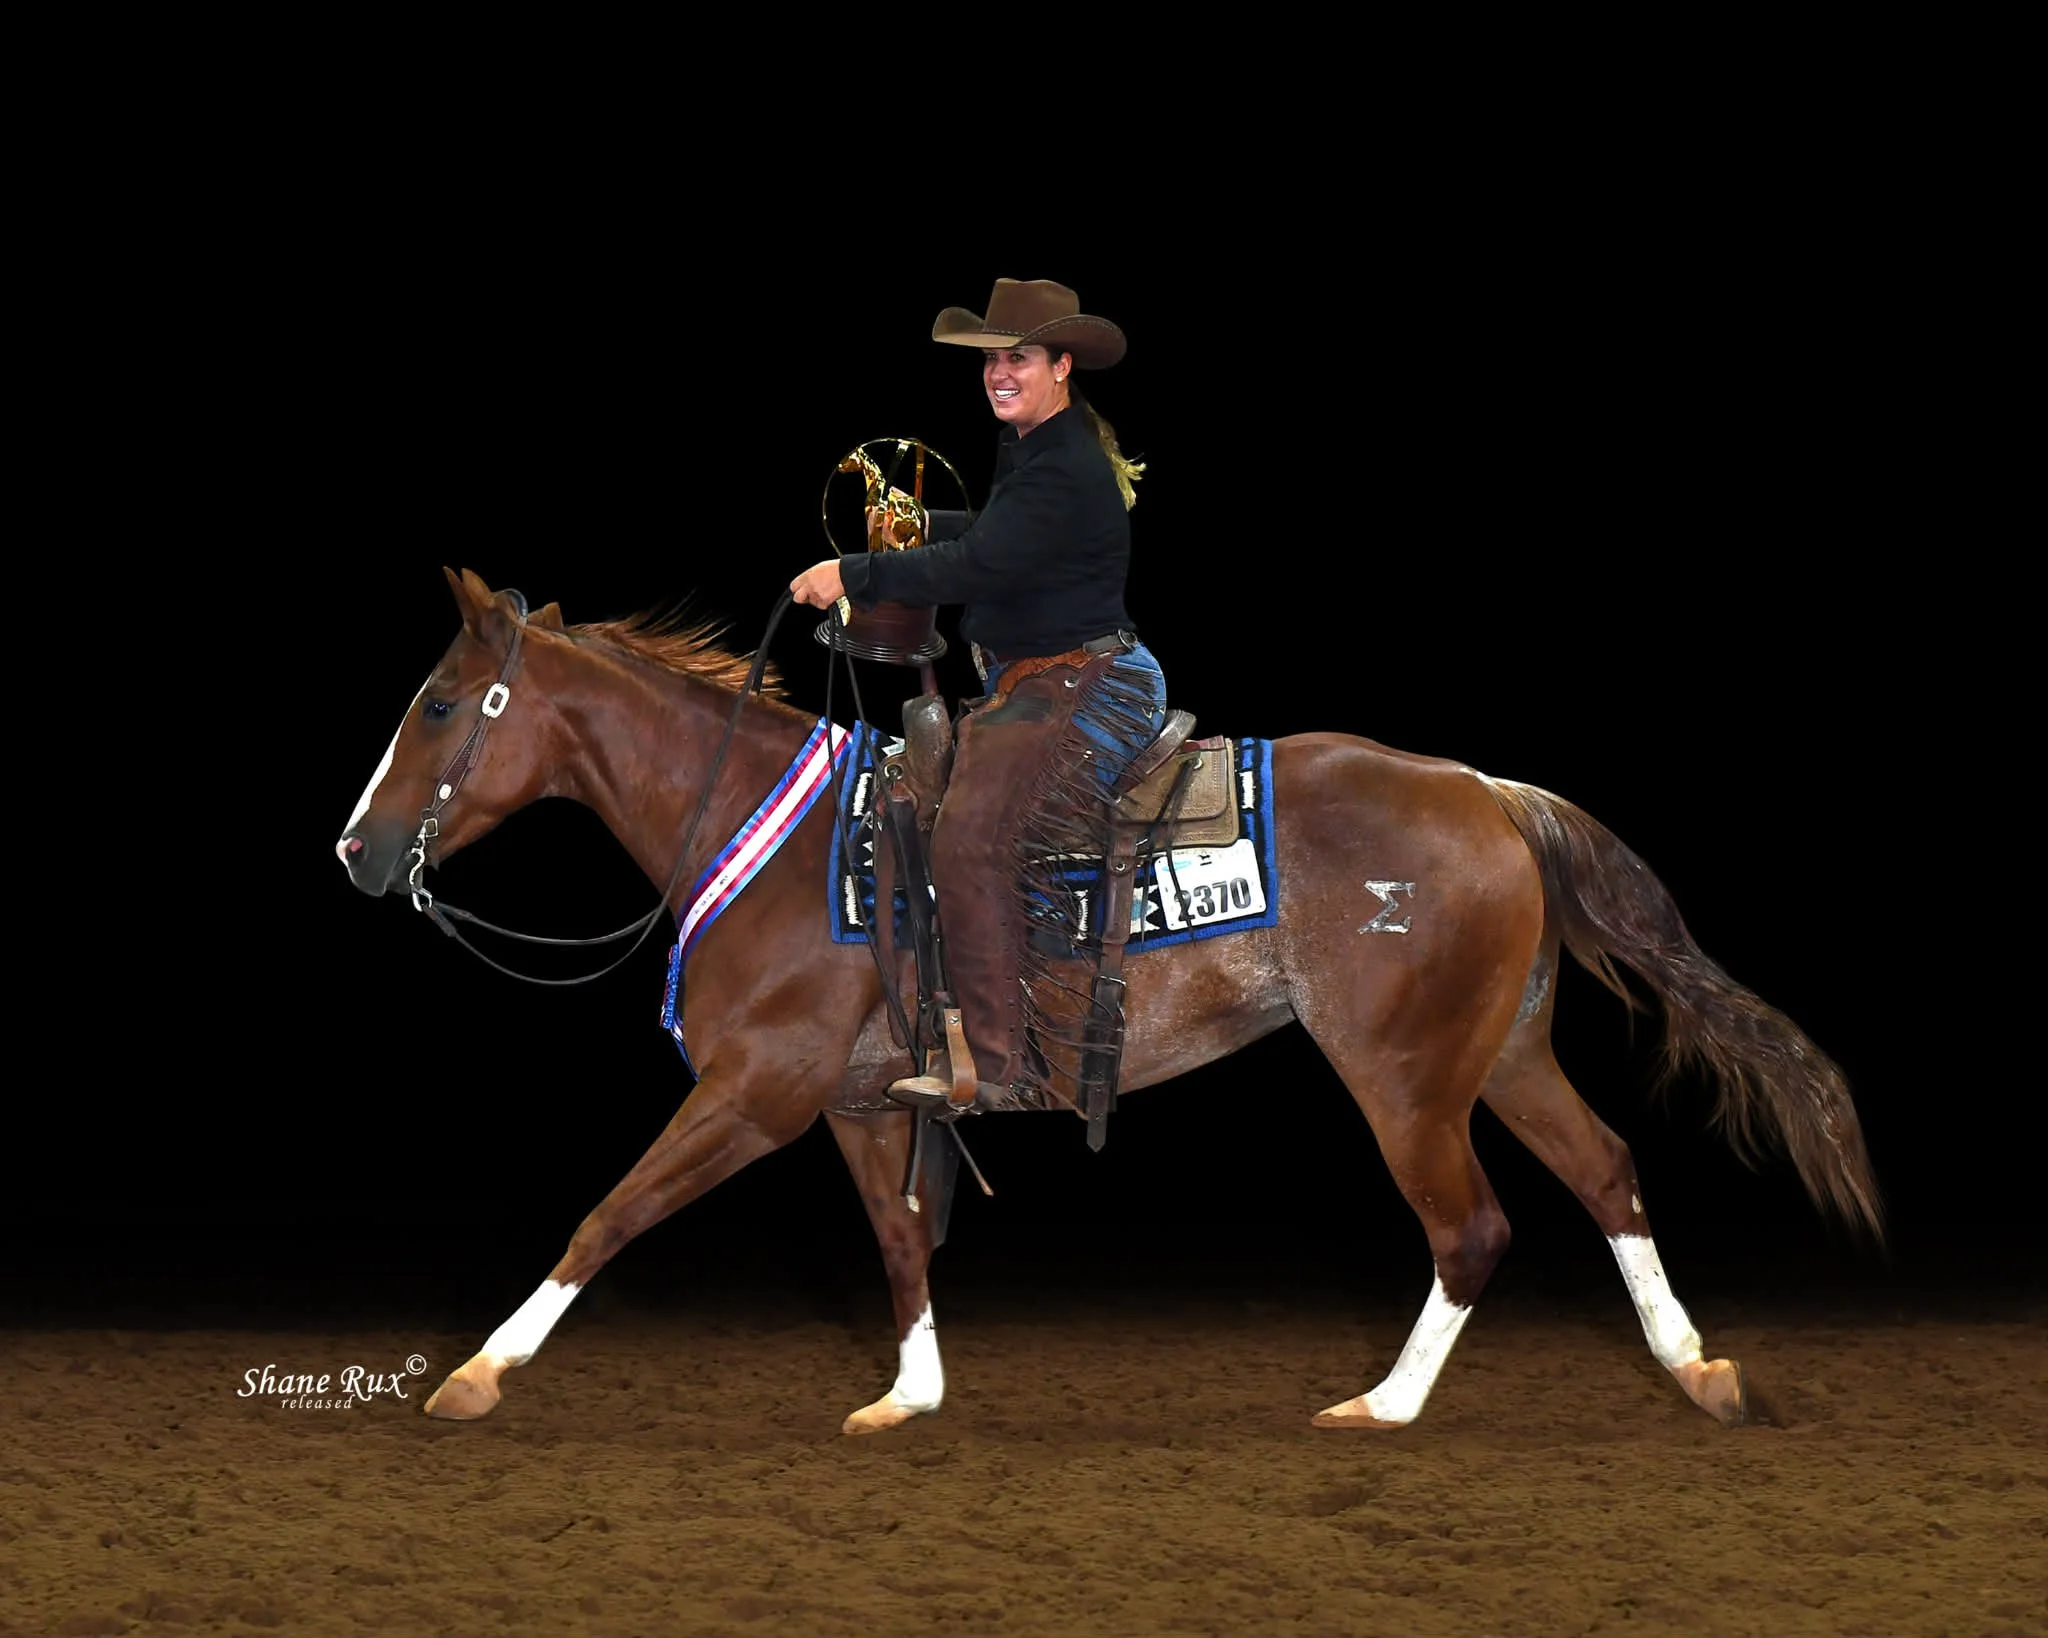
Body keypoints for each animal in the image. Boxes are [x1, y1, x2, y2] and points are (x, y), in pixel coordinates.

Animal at [334, 568, 1883, 1436]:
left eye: (435, 705)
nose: (353, 851)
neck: (777, 842)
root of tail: (1487, 791)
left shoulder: (754, 1093)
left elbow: (610, 1210)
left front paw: (478, 1373)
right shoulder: (853, 1102)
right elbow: (899, 1242)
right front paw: (909, 1395)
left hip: (1400, 1071)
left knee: (1472, 1224)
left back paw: (1382, 1406)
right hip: (1500, 1050)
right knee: (1608, 1170)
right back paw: (1697, 1370)